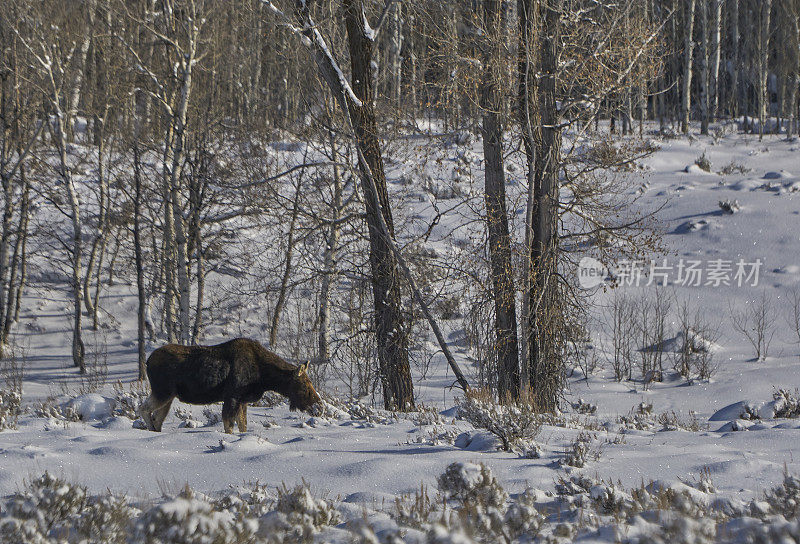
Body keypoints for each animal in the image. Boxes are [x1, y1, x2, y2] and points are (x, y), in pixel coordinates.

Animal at [139, 336, 320, 434]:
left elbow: (242, 425)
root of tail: (147, 362)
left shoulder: (242, 400)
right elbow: (229, 424)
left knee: (157, 418)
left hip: (169, 396)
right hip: (163, 391)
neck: (264, 377)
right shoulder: (232, 396)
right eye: (304, 384)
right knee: (144, 409)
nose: (317, 402)